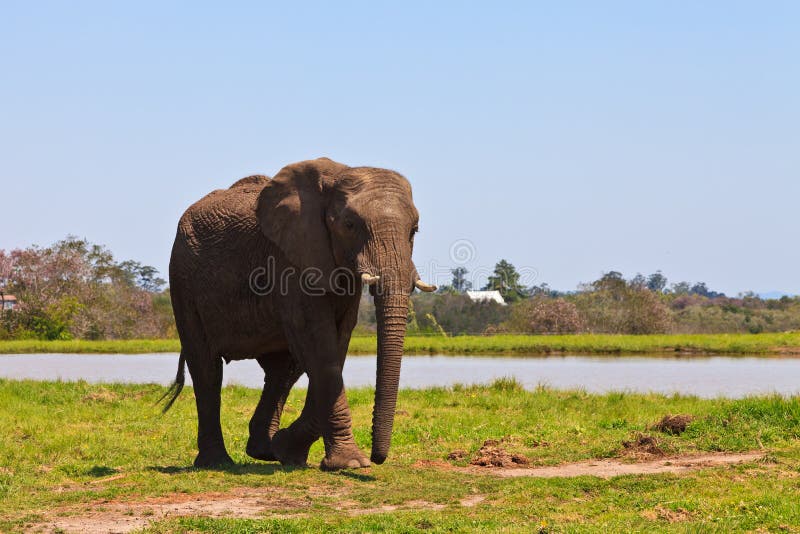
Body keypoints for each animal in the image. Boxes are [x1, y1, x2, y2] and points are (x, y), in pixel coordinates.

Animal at [164, 158, 438, 474]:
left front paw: (288, 450)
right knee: (207, 368)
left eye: (414, 230)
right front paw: (351, 463)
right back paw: (217, 462)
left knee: (284, 370)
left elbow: (337, 344)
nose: (378, 458)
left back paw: (264, 451)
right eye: (349, 225)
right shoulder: (290, 260)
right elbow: (319, 346)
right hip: (183, 278)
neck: (339, 175)